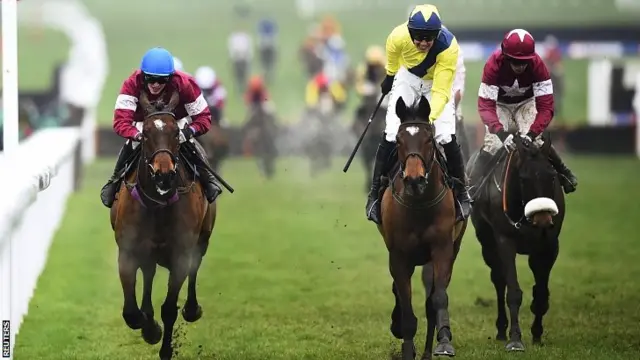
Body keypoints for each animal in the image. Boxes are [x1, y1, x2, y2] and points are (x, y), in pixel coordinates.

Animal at [110, 90, 218, 360]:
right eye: (146, 133)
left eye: (175, 133)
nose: (164, 175)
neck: (157, 205)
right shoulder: (127, 252)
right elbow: (131, 313)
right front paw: (149, 328)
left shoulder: (180, 254)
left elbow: (169, 308)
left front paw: (165, 346)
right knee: (148, 275)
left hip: (203, 239)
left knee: (194, 269)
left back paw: (191, 309)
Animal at [378, 96, 468, 360]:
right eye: (398, 141)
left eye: (428, 139)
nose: (414, 179)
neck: (418, 205)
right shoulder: (398, 255)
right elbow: (405, 303)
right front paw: (406, 343)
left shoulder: (442, 250)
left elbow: (437, 298)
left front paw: (443, 342)